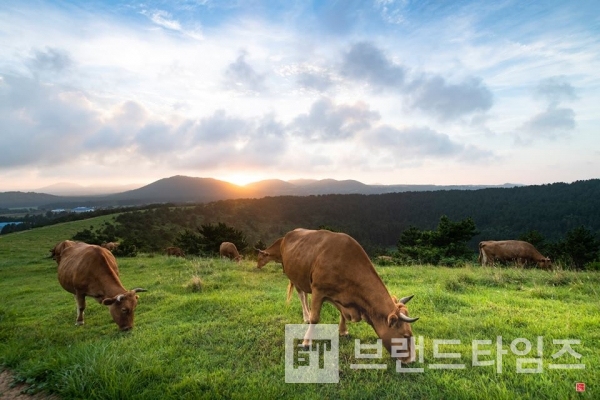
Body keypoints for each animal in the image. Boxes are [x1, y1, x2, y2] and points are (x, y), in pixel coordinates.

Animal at [280, 228, 418, 362]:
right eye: (406, 335)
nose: (412, 360)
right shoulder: (318, 290)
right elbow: (315, 318)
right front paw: (306, 342)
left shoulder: (343, 297)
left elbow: (342, 314)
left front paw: (343, 331)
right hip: (295, 277)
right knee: (301, 295)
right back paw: (306, 317)